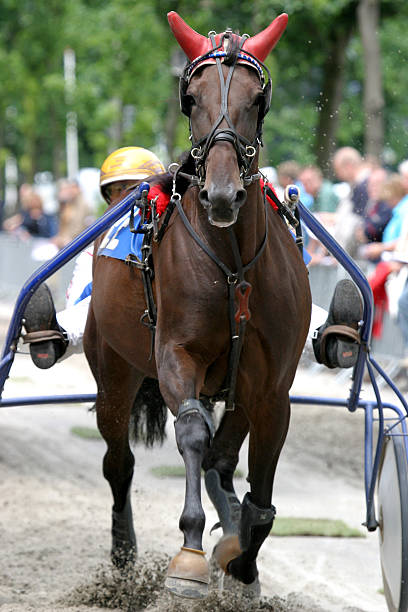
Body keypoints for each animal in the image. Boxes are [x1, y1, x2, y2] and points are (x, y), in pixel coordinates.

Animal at [84, 9, 310, 600]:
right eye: (191, 99)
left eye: (258, 99)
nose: (223, 195)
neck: (233, 264)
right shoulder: (176, 355)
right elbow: (189, 432)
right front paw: (188, 555)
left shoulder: (272, 388)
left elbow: (261, 495)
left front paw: (241, 559)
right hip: (113, 371)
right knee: (119, 461)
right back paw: (123, 551)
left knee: (221, 457)